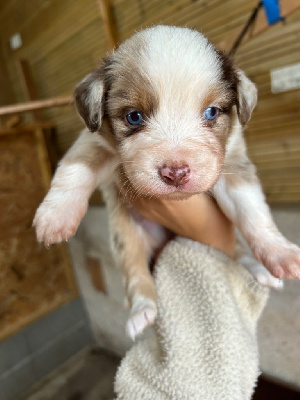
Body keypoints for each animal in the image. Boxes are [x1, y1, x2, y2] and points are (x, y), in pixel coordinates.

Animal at [33, 25, 300, 340]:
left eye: (211, 112)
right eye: (134, 117)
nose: (175, 173)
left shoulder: (234, 166)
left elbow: (253, 213)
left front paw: (281, 252)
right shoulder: (92, 140)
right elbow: (73, 170)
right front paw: (56, 216)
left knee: (234, 250)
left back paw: (258, 269)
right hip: (127, 238)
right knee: (136, 275)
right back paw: (141, 309)